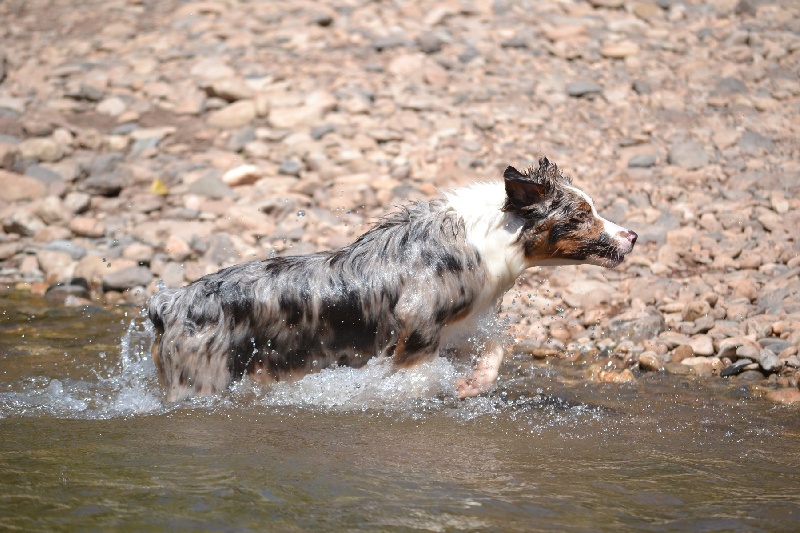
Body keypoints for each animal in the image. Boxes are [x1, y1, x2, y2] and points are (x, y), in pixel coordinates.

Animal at [148, 158, 636, 400]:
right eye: (580, 216)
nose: (632, 236)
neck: (486, 239)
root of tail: (169, 302)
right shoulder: (416, 329)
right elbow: (414, 379)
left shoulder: (458, 327)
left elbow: (496, 346)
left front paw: (473, 384)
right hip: (199, 380)